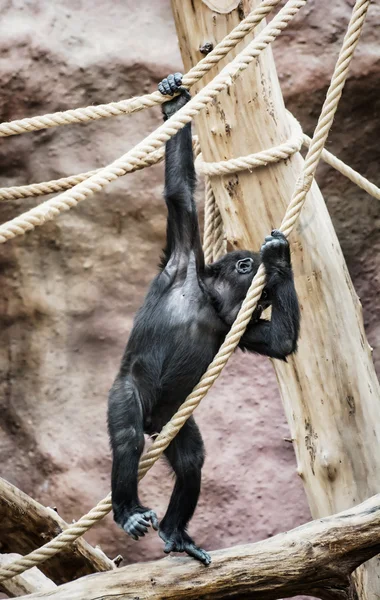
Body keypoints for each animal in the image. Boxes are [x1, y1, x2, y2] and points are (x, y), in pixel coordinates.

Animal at [108, 72, 302, 564]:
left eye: (266, 295)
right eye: (246, 273)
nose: (264, 290)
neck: (210, 299)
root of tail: (156, 422)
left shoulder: (241, 325)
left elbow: (279, 342)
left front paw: (281, 260)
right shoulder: (182, 256)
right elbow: (179, 193)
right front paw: (175, 100)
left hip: (174, 418)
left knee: (191, 459)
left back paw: (176, 532)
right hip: (129, 394)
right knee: (128, 436)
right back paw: (128, 511)